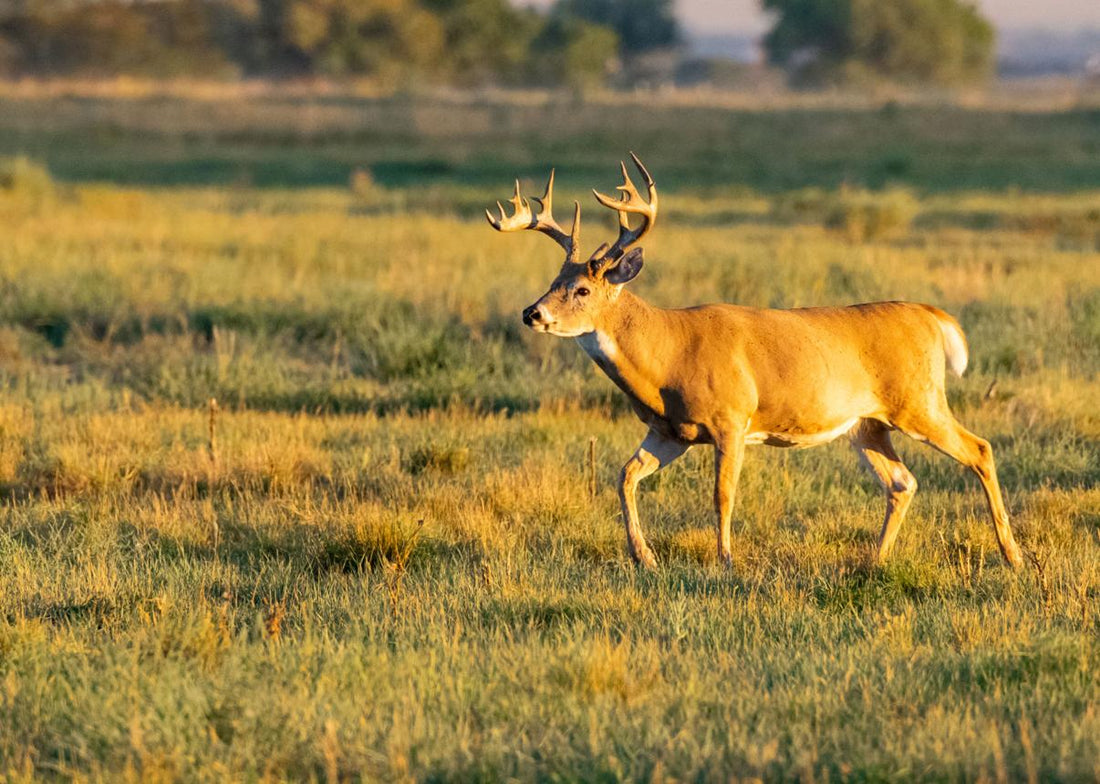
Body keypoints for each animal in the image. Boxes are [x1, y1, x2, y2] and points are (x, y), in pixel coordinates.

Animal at [486, 154, 1024, 570]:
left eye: (581, 289)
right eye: (553, 280)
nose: (532, 313)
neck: (668, 353)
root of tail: (933, 317)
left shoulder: (732, 417)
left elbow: (722, 494)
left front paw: (726, 561)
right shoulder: (669, 430)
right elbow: (625, 475)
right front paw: (646, 557)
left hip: (918, 401)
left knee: (979, 449)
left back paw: (1012, 556)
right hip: (867, 424)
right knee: (902, 481)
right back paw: (874, 561)